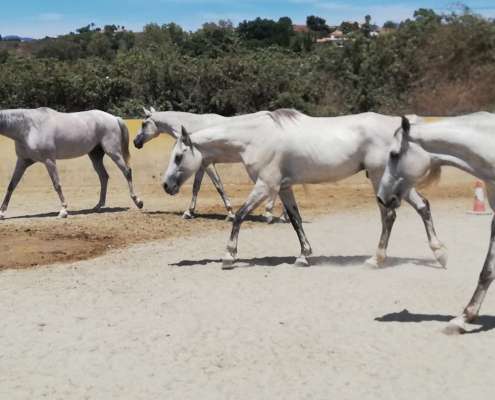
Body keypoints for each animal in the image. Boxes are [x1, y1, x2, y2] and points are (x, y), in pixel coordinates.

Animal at [0, 107, 143, 219]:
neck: (29, 127)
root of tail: (114, 118)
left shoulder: (49, 160)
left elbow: (57, 184)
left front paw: (63, 211)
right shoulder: (23, 161)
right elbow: (11, 185)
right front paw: (2, 212)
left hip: (113, 152)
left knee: (126, 171)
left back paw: (138, 201)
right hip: (95, 155)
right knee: (104, 177)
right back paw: (98, 206)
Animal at [134, 107, 284, 222]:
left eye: (143, 124)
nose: (136, 142)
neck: (195, 128)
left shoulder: (208, 164)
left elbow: (219, 186)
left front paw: (230, 213)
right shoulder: (201, 165)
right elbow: (196, 187)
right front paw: (189, 212)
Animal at [164, 109, 450, 268]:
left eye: (178, 157)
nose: (166, 185)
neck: (255, 137)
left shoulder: (266, 186)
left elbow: (240, 216)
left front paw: (229, 256)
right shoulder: (283, 188)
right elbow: (295, 219)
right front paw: (304, 255)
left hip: (381, 179)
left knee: (390, 215)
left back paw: (378, 259)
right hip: (393, 183)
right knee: (422, 206)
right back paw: (438, 255)